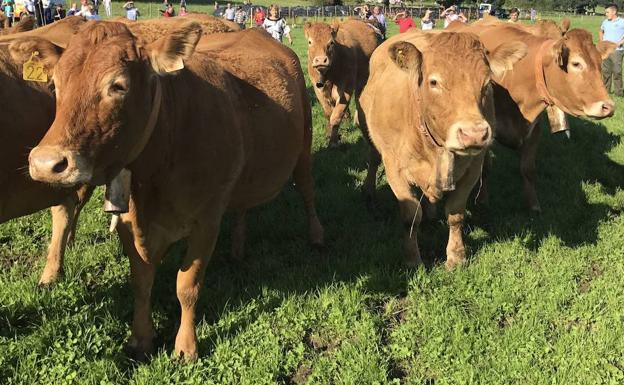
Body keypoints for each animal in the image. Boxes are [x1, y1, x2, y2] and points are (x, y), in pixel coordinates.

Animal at [26, 21, 324, 358]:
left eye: (118, 86)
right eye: (55, 84)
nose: (46, 163)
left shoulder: (206, 221)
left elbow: (187, 285)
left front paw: (186, 346)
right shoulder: (130, 222)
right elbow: (141, 280)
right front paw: (141, 337)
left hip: (304, 144)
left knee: (307, 190)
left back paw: (316, 235)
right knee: (241, 206)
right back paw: (237, 247)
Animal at [358, 30, 524, 268]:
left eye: (486, 83)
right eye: (434, 81)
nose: (474, 133)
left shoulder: (472, 169)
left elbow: (455, 213)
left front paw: (456, 256)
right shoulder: (394, 169)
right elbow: (410, 216)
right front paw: (412, 259)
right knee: (372, 159)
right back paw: (369, 191)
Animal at [450, 19, 616, 212]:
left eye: (599, 62)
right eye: (576, 63)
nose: (608, 107)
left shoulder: (535, 129)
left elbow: (528, 169)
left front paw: (533, 204)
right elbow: (485, 168)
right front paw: (482, 199)